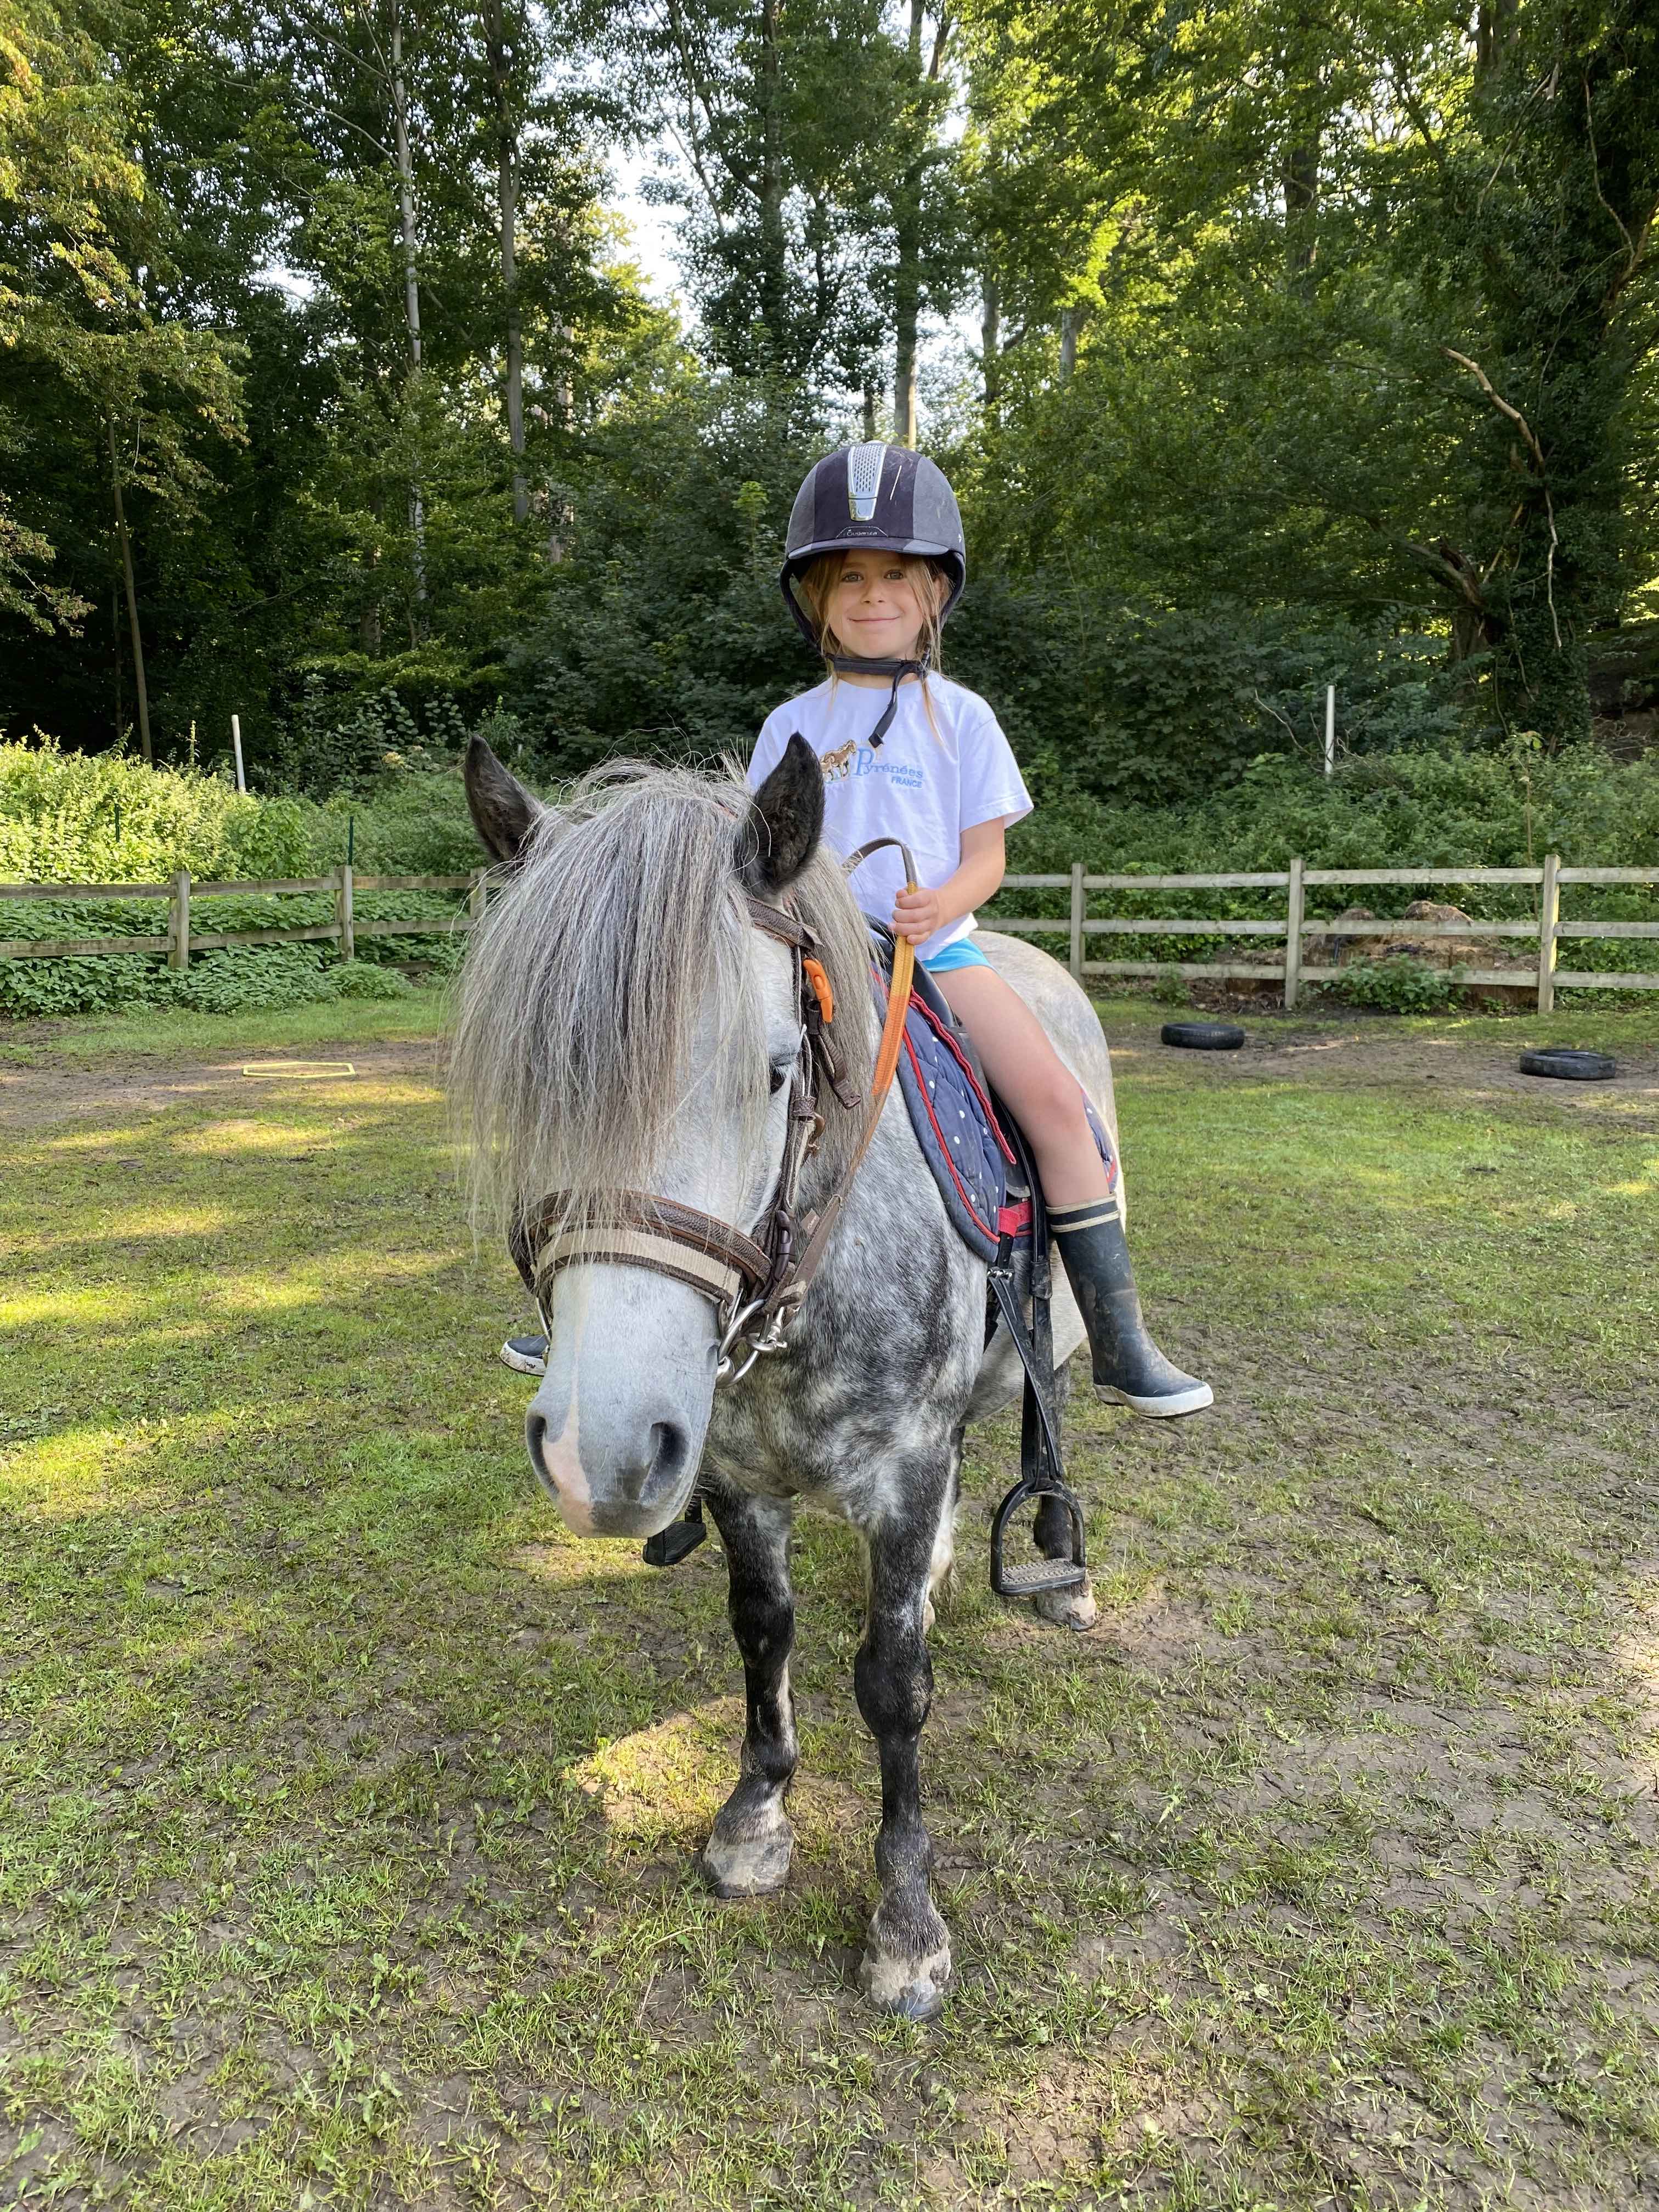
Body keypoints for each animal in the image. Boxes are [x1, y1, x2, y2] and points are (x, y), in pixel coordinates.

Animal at [450, 732, 1128, 2020]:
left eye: (774, 1073)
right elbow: (762, 1632)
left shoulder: (901, 1471)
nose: (600, 1451)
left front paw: (906, 1924)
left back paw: (1057, 1566)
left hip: (1054, 1327)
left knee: (1045, 1411)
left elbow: (892, 1683)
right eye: (537, 1086)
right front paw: (754, 1819)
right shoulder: (731, 1472)